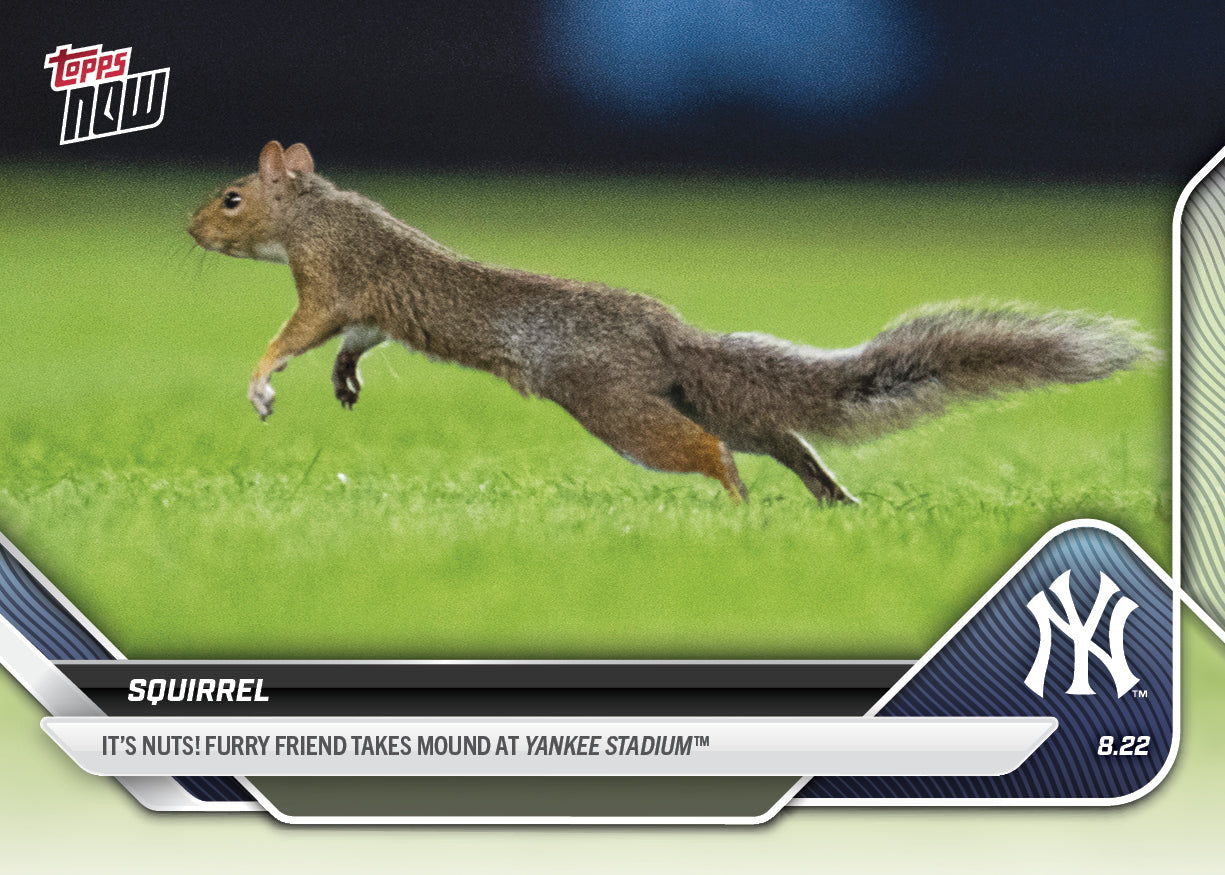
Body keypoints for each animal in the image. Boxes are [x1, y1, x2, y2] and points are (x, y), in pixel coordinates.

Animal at [189, 141, 1156, 505]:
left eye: (231, 198)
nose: (190, 230)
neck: (316, 208)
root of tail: (665, 334)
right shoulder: (363, 304)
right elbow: (359, 339)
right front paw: (344, 380)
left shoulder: (328, 281)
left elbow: (297, 332)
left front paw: (263, 381)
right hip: (697, 394)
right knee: (778, 432)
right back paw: (831, 499)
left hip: (614, 404)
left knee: (711, 448)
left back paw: (737, 502)